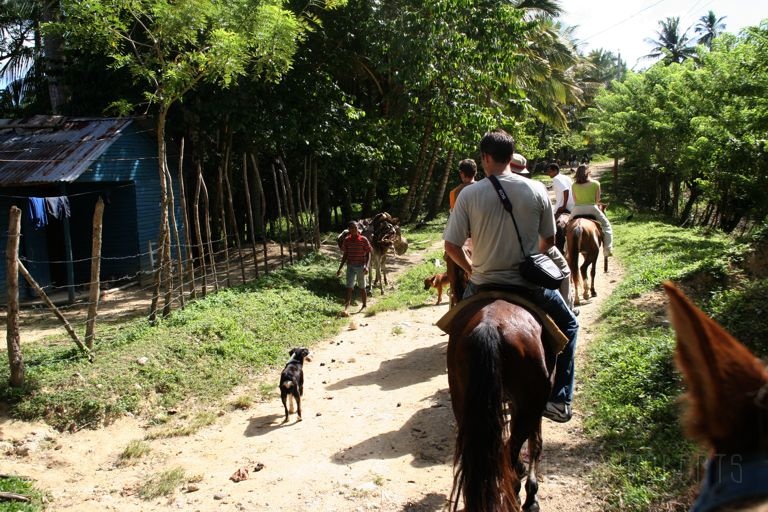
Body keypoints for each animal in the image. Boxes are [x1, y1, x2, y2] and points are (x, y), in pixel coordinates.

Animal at [444, 298, 560, 510]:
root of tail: (489, 326)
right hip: (530, 404)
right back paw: (514, 494)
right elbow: (536, 443)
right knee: (509, 449)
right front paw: (531, 497)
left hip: (462, 401)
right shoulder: (534, 405)